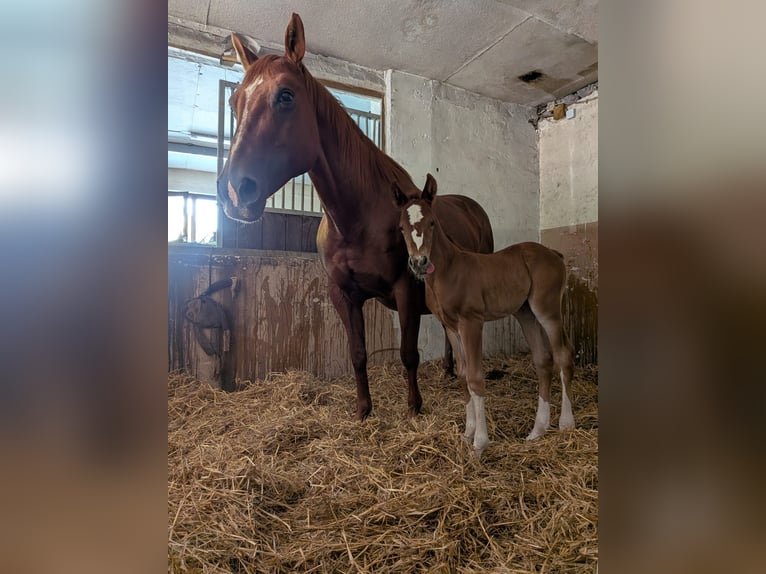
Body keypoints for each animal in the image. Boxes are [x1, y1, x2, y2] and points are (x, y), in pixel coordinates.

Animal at [216, 13, 494, 420]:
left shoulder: (405, 291)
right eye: (234, 101)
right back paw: (448, 370)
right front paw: (363, 409)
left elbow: (408, 354)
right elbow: (358, 354)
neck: (357, 219)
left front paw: (414, 408)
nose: (234, 191)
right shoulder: (344, 295)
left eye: (286, 95)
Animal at [394, 174, 575, 457]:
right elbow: (462, 375)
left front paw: (480, 443)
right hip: (525, 313)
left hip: (547, 309)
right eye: (402, 228)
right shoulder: (451, 327)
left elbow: (476, 377)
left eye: (432, 223)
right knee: (543, 360)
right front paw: (467, 433)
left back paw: (566, 423)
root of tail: (554, 254)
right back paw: (537, 430)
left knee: (563, 355)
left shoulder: (472, 322)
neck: (450, 270)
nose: (419, 263)